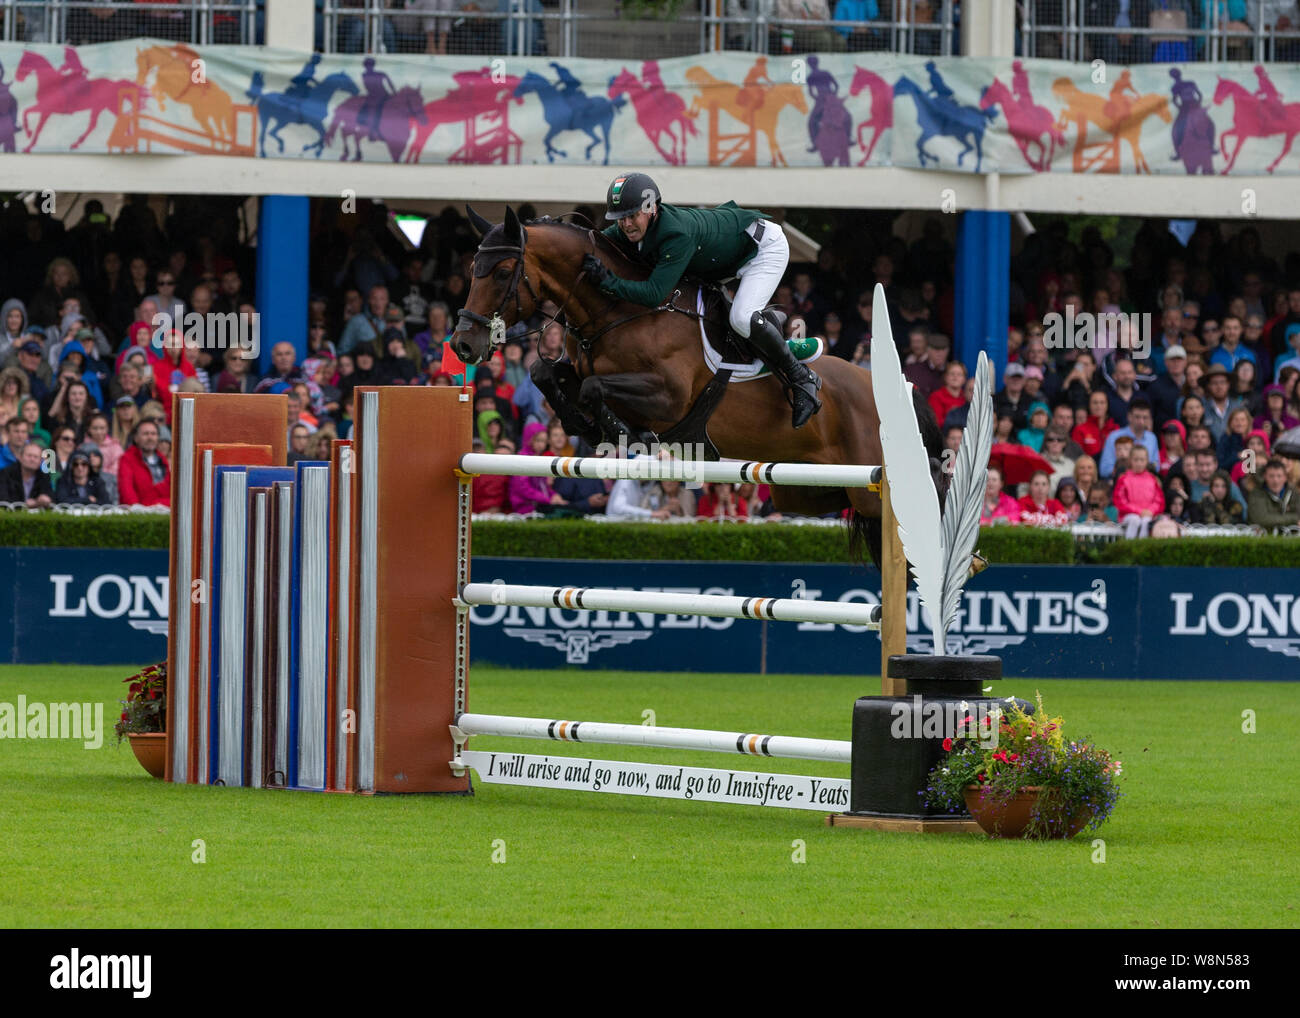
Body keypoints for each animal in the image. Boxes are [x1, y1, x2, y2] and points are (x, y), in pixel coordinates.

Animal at [16, 50, 144, 152]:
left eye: (24, 61)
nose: (18, 77)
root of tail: (114, 83)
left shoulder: (46, 109)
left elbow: (32, 119)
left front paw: (28, 138)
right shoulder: (45, 109)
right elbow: (29, 115)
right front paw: (28, 141)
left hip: (108, 106)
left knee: (121, 118)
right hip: (100, 107)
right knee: (94, 124)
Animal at [447, 209, 946, 572]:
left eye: (504, 271)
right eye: (472, 268)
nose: (463, 344)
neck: (618, 309)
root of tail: (897, 390)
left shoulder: (667, 398)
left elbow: (592, 387)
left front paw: (621, 431)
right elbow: (544, 372)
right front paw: (585, 426)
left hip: (871, 491)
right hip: (810, 490)